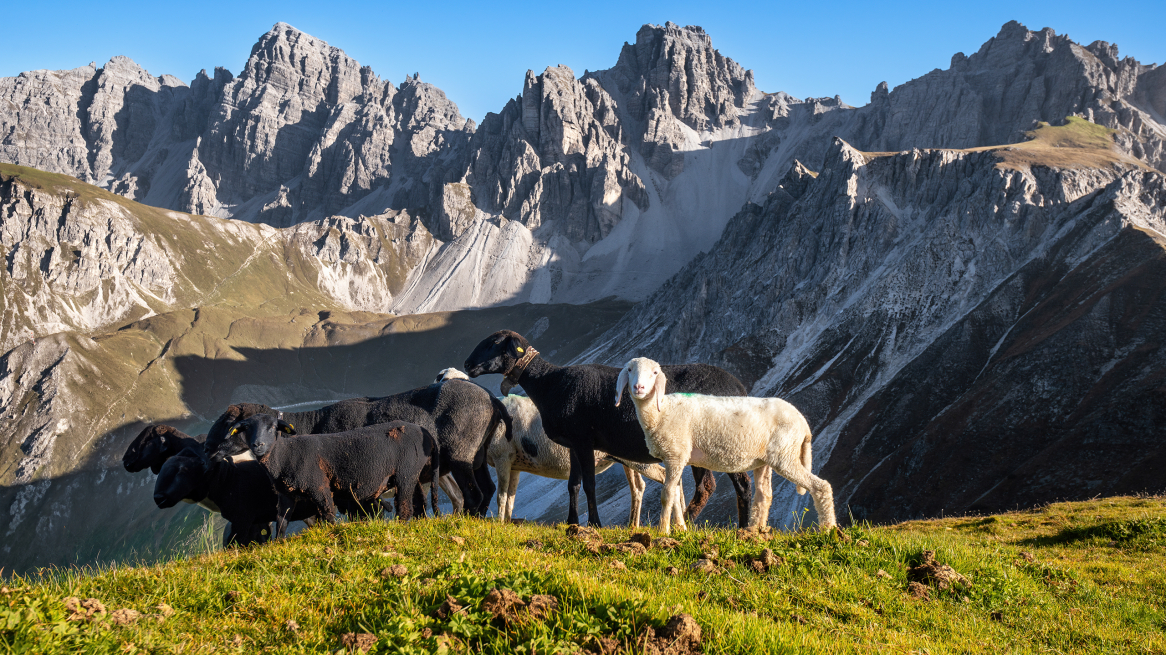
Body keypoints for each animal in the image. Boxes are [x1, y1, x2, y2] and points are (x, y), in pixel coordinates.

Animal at [204, 379, 510, 517]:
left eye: (233, 424)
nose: (207, 446)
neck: (309, 425)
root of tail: (492, 400)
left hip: (461, 456)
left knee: (474, 495)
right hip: (478, 457)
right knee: (488, 489)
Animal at [221, 414, 437, 532]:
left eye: (273, 427)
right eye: (246, 429)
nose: (258, 445)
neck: (284, 455)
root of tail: (424, 430)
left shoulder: (318, 485)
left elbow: (328, 513)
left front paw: (333, 533)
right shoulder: (285, 495)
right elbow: (281, 523)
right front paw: (278, 544)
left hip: (405, 473)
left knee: (405, 508)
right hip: (413, 474)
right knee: (420, 502)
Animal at [463, 330, 753, 528]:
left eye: (493, 343)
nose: (467, 365)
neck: (550, 383)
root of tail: (739, 387)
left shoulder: (584, 440)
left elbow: (589, 484)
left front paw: (594, 523)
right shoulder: (574, 443)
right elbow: (573, 484)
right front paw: (572, 522)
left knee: (727, 485)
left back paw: (707, 525)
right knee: (717, 485)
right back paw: (734, 528)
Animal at [615, 357, 836, 534]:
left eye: (654, 373)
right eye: (630, 370)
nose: (639, 388)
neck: (660, 411)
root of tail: (803, 423)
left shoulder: (675, 455)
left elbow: (668, 494)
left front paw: (663, 531)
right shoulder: (676, 458)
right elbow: (676, 493)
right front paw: (680, 528)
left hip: (785, 455)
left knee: (820, 487)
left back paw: (828, 529)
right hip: (765, 460)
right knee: (764, 495)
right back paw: (754, 530)